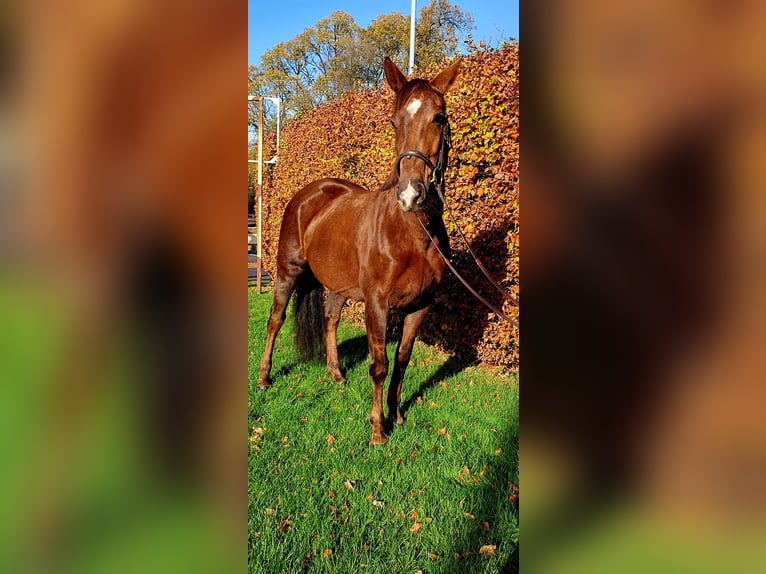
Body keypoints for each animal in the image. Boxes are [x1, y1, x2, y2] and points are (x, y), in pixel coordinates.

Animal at [256, 57, 462, 446]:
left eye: (439, 118)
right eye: (393, 121)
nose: (410, 193)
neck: (413, 232)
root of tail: (310, 193)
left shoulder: (420, 305)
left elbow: (402, 360)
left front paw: (398, 414)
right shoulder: (377, 304)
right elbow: (379, 365)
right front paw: (378, 429)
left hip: (339, 284)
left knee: (330, 319)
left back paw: (336, 373)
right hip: (286, 270)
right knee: (275, 320)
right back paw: (263, 377)